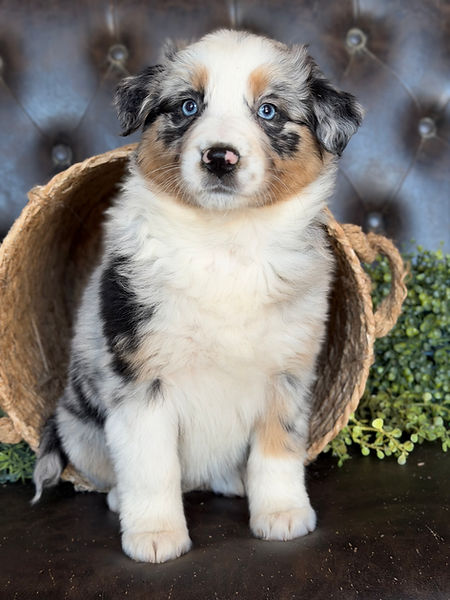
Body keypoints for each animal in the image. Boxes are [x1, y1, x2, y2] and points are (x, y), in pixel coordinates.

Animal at [32, 29, 363, 563]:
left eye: (269, 111)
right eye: (188, 106)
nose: (220, 156)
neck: (225, 241)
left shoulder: (289, 373)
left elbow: (278, 452)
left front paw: (283, 514)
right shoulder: (140, 380)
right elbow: (152, 466)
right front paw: (154, 535)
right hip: (77, 428)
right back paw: (122, 499)